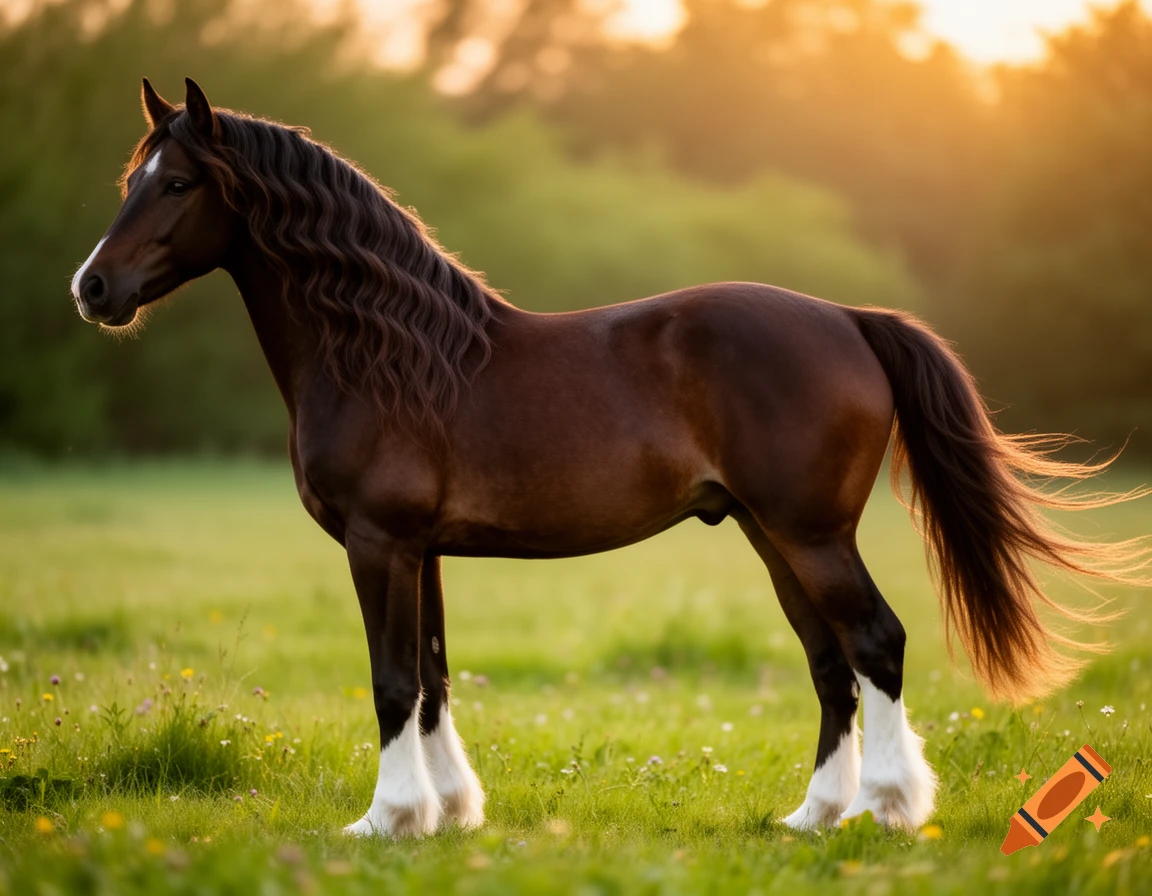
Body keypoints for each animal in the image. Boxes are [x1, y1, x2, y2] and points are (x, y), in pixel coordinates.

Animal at [71, 78, 1150, 837]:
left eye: (177, 184)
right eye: (129, 180)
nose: (93, 288)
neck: (387, 355)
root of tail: (847, 317)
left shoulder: (380, 543)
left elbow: (391, 681)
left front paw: (386, 819)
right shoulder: (424, 550)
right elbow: (434, 677)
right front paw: (451, 813)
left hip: (809, 533)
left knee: (874, 643)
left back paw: (888, 806)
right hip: (773, 538)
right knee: (830, 663)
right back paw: (812, 815)